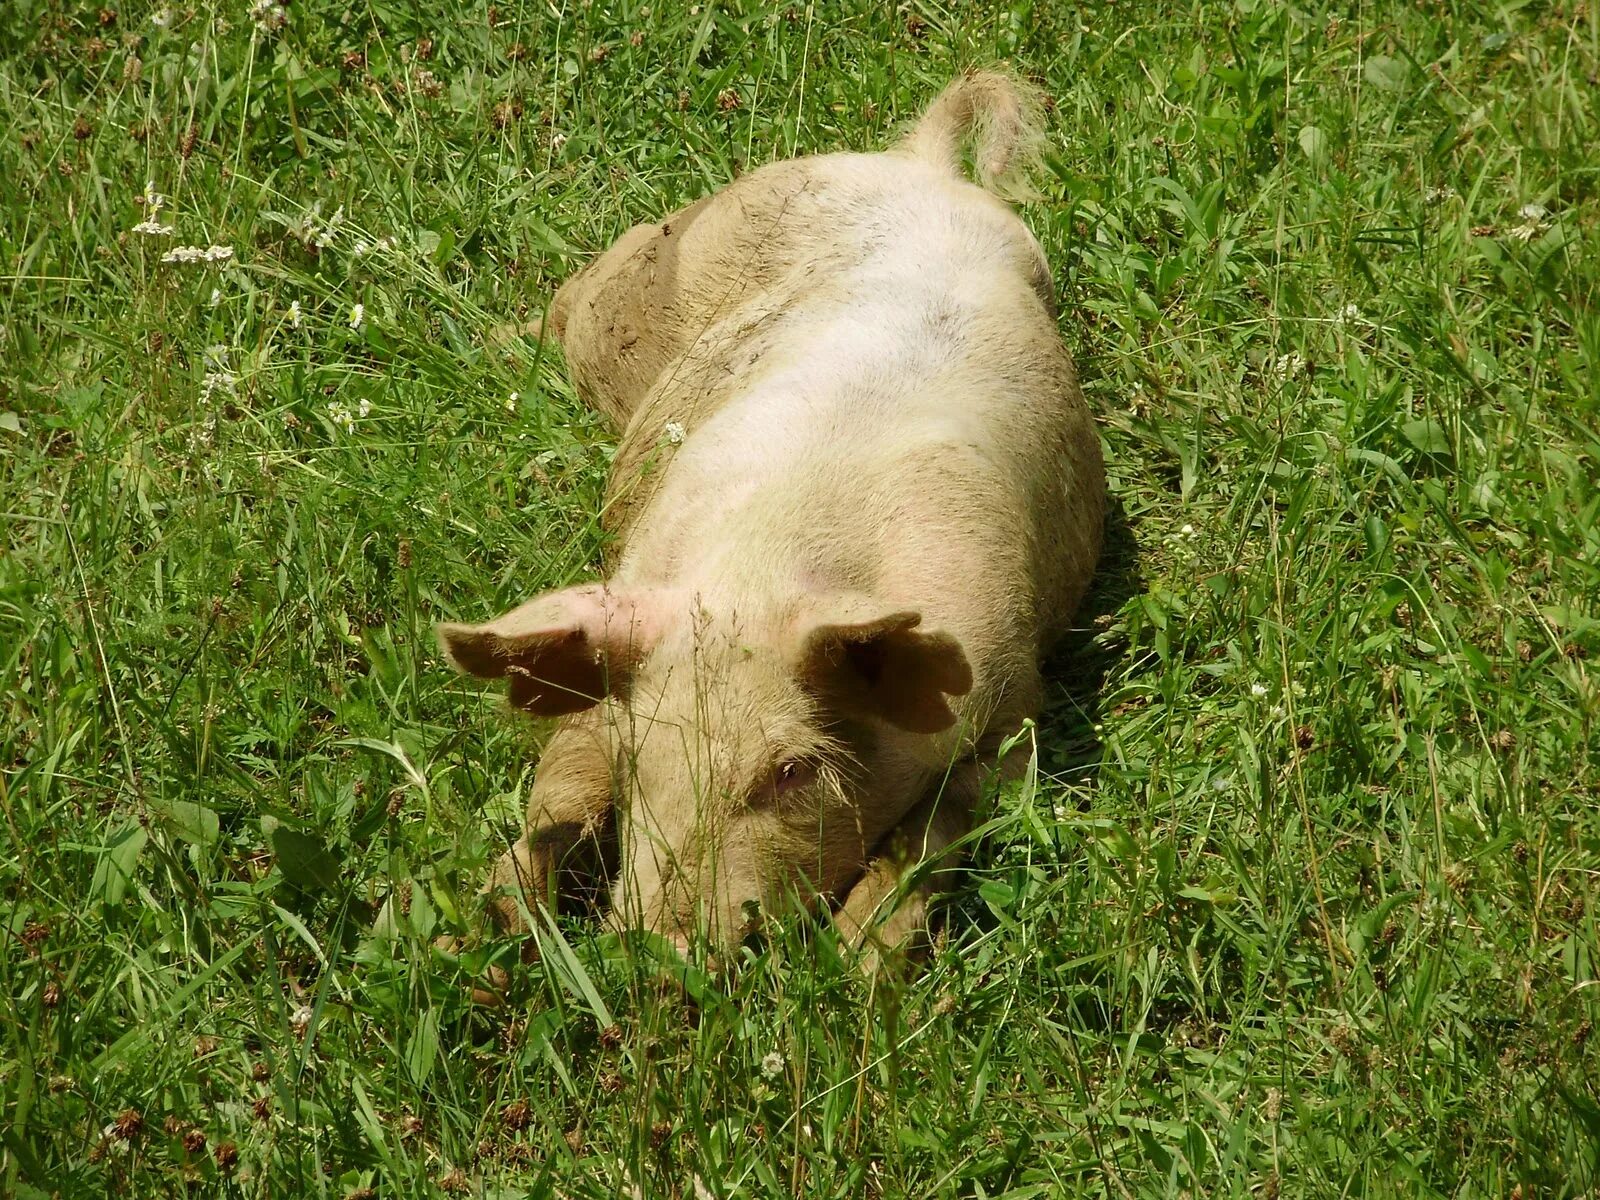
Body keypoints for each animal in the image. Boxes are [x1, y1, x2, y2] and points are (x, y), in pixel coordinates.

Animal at [438, 70, 1104, 967]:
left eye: (790, 771)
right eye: (644, 754)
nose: (659, 951)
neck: (766, 568)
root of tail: (921, 165)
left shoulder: (1011, 706)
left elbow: (935, 839)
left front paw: (859, 965)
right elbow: (567, 771)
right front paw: (493, 929)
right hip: (668, 261)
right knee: (575, 299)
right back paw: (497, 344)